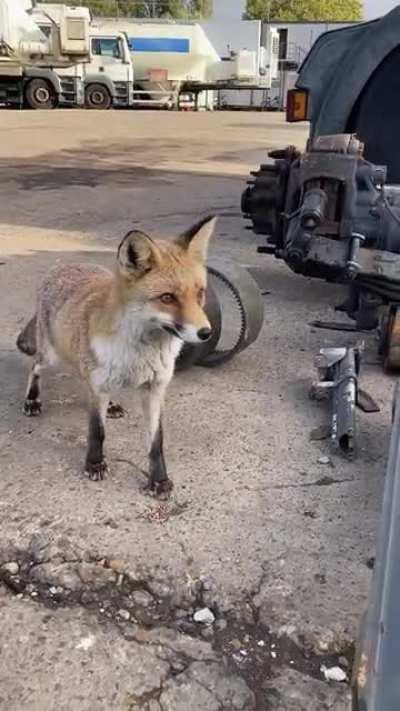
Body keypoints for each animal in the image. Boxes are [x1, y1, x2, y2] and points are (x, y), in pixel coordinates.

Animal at [16, 215, 217, 496]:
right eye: (167, 298)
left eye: (200, 293)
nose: (206, 333)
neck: (139, 355)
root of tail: (62, 265)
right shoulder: (99, 386)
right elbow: (97, 431)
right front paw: (94, 464)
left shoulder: (155, 389)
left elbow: (156, 442)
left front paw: (158, 479)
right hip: (51, 356)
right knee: (35, 367)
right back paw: (32, 400)